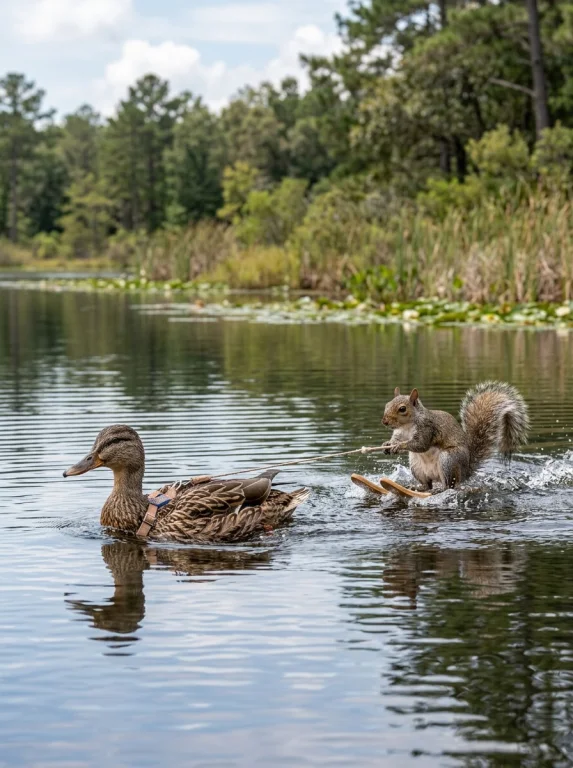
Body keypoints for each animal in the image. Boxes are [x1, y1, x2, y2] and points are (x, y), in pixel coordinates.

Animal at [381, 381, 529, 490]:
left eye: (402, 409)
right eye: (387, 404)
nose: (384, 421)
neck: (406, 426)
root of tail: (465, 472)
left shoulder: (427, 429)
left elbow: (420, 445)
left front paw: (399, 446)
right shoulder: (400, 433)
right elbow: (396, 439)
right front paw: (387, 445)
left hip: (449, 460)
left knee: (449, 486)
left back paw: (440, 490)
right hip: (416, 466)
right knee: (428, 485)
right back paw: (419, 488)